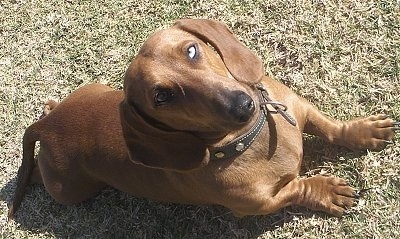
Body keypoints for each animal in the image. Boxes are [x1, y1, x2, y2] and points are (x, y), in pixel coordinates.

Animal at [7, 19, 398, 219]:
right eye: (162, 96)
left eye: (192, 50)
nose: (242, 104)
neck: (250, 140)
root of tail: (46, 128)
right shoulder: (261, 205)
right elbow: (297, 189)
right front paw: (327, 190)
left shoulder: (296, 107)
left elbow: (333, 129)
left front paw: (365, 131)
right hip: (67, 190)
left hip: (91, 89)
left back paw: (50, 104)